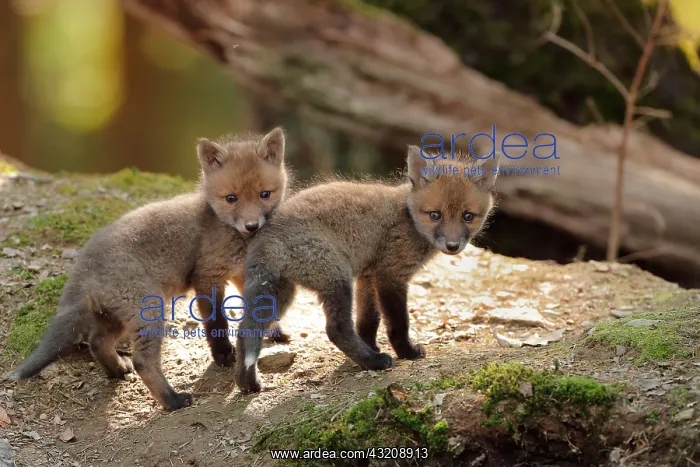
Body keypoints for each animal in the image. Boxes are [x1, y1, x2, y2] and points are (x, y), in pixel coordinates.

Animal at [5, 127, 290, 410]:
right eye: (231, 198)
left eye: (265, 194)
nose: (252, 226)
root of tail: (85, 264)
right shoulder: (207, 276)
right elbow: (216, 320)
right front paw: (223, 354)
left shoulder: (241, 272)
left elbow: (260, 305)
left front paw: (274, 329)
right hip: (149, 311)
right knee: (143, 361)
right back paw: (173, 400)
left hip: (115, 316)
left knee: (97, 342)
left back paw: (118, 371)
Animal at [234, 145, 499, 393]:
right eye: (435, 215)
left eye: (468, 216)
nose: (453, 246)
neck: (408, 217)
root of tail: (265, 237)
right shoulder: (390, 275)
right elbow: (398, 323)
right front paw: (405, 352)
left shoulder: (368, 275)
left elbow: (368, 320)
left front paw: (370, 345)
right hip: (337, 279)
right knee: (336, 329)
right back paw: (374, 362)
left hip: (282, 293)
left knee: (245, 330)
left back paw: (247, 383)